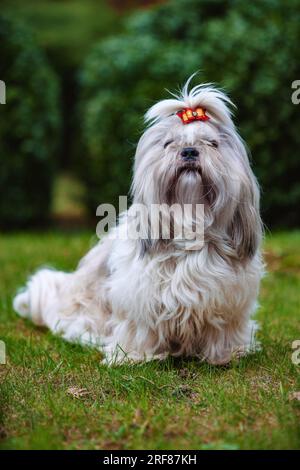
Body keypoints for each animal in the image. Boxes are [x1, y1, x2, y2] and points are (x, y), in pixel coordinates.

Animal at [12, 78, 264, 364]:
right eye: (169, 143)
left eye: (211, 143)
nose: (189, 151)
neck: (190, 223)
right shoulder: (140, 298)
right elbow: (141, 328)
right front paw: (133, 355)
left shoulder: (228, 299)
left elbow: (223, 329)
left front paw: (228, 353)